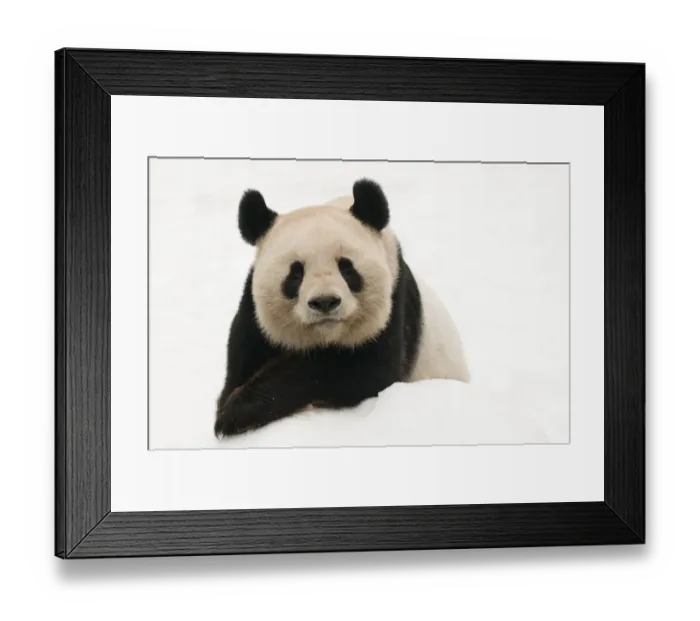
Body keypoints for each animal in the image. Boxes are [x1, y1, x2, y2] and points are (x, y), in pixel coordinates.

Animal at [214, 178, 469, 438]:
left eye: (347, 267)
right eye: (295, 273)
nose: (325, 302)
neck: (325, 338)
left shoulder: (394, 304)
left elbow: (358, 371)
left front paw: (238, 412)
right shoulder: (254, 318)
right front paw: (231, 408)